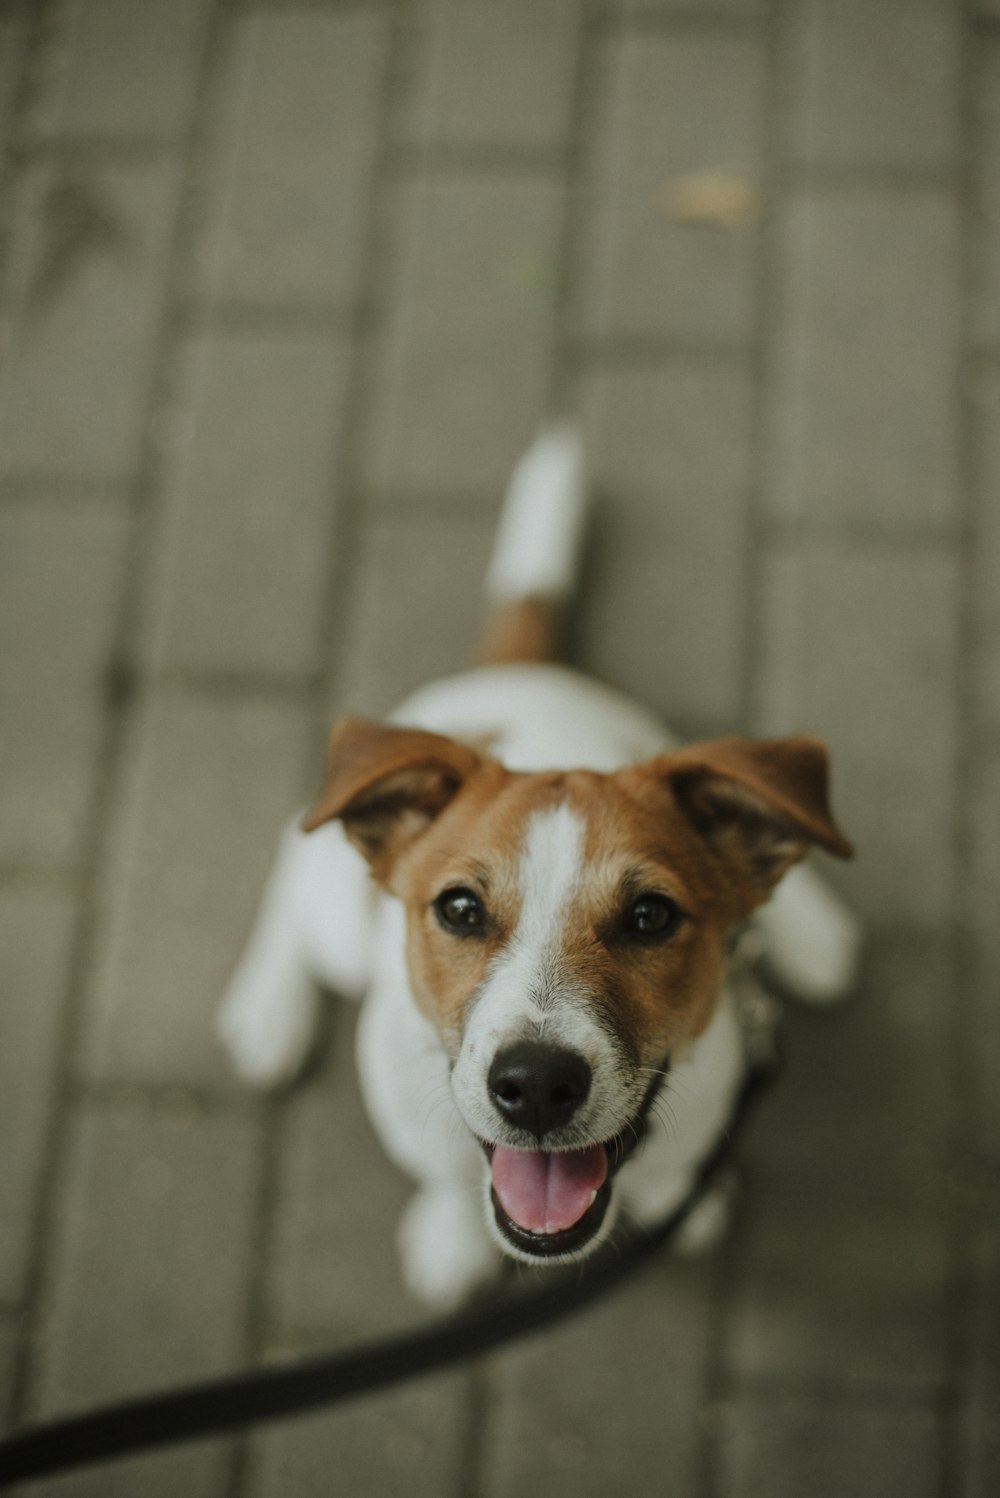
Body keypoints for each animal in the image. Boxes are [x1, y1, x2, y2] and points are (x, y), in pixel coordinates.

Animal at [220, 425, 862, 1312]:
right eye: (459, 909)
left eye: (651, 916)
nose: (535, 1086)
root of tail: (519, 669)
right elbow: (447, 1183)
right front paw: (450, 1238)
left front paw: (684, 1200)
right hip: (337, 913)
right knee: (293, 848)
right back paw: (268, 1010)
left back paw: (813, 933)